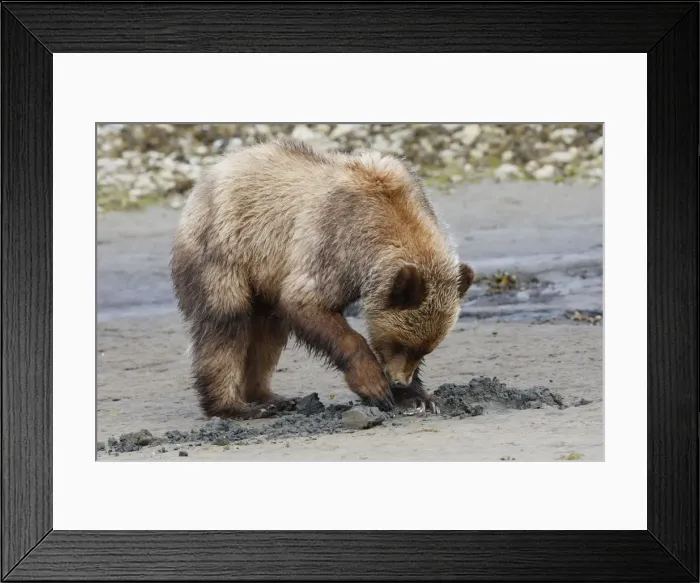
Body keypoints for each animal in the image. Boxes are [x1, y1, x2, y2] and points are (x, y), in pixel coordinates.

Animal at [170, 138, 474, 419]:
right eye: (399, 343)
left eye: (424, 350)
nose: (400, 381)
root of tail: (206, 178)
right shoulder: (335, 244)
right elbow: (308, 304)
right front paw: (375, 385)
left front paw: (420, 398)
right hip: (225, 252)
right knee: (226, 323)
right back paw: (234, 406)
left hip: (264, 275)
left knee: (269, 330)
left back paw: (271, 397)